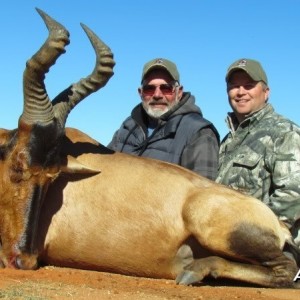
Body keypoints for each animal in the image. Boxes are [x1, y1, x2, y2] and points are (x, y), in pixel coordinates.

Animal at [0, 8, 300, 288]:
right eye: (17, 165)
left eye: (52, 176)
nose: (22, 260)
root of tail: (279, 226)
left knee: (286, 269)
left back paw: (194, 271)